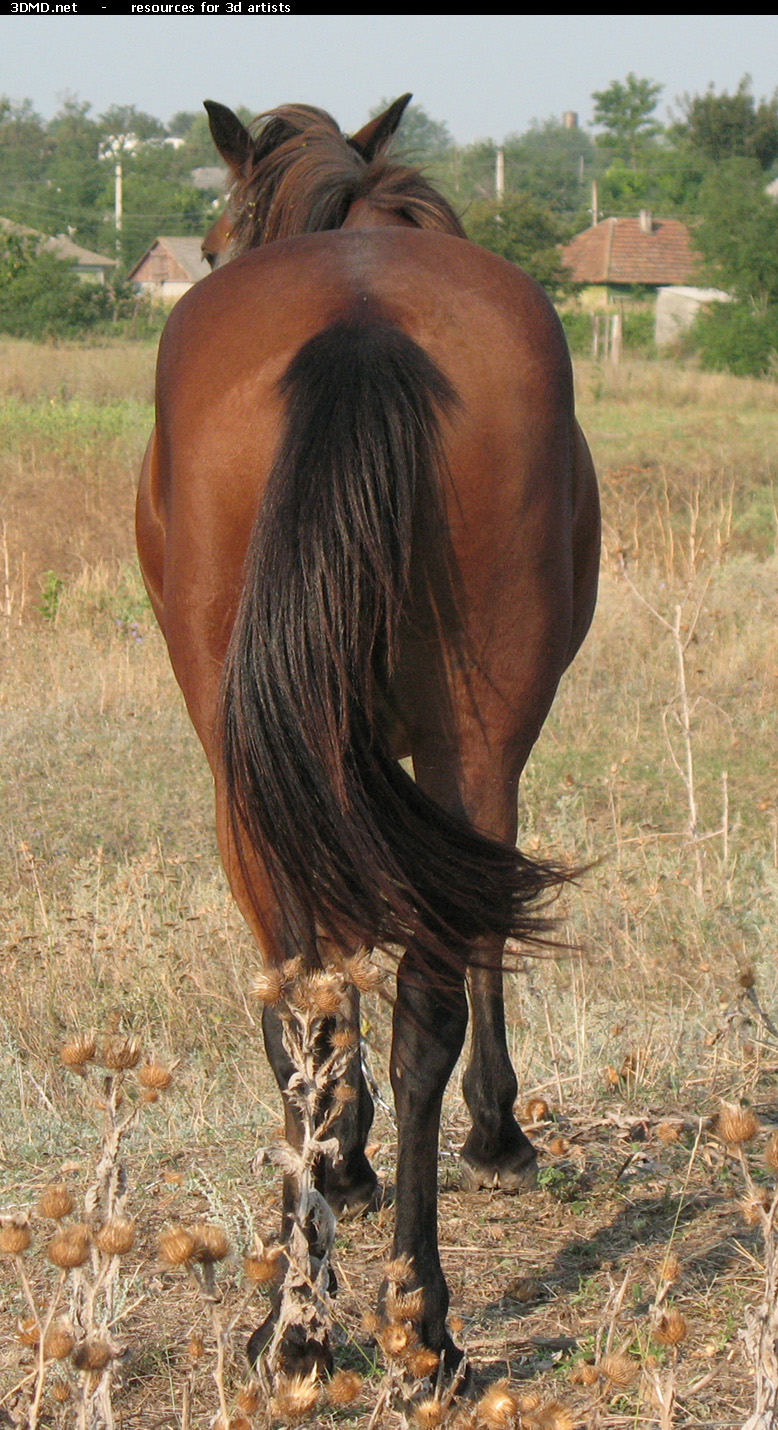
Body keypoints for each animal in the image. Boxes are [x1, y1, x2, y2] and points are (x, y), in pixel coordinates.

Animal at [136, 97, 600, 1372]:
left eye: (208, 241)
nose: (205, 254)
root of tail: (359, 321)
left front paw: (364, 1149)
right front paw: (442, 1134)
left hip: (253, 771)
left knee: (317, 993)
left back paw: (321, 1312)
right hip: (447, 744)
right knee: (384, 1000)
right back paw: (399, 1315)